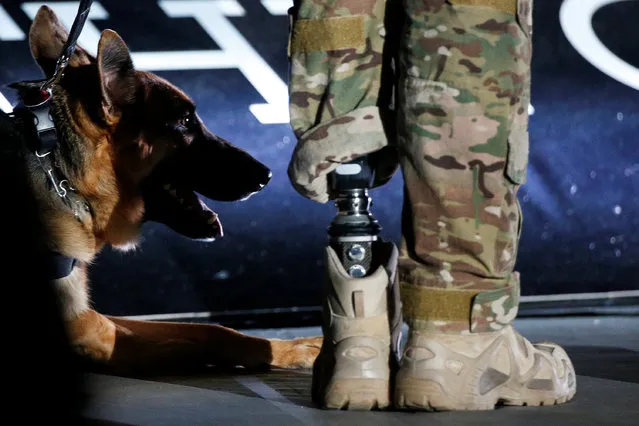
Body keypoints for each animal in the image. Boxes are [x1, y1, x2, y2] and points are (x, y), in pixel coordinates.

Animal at [1, 5, 318, 372]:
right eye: (184, 122)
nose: (266, 175)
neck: (64, 179)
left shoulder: (92, 318)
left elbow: (214, 329)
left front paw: (296, 346)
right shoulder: (89, 330)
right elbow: (207, 342)